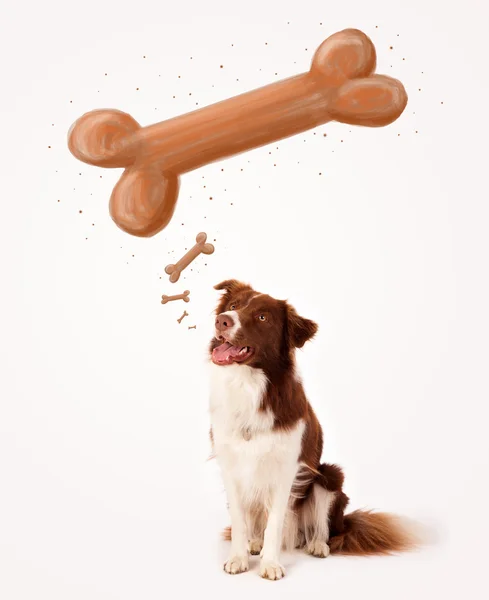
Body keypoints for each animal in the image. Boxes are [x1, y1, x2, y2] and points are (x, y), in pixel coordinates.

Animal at [206, 282, 416, 580]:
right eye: (233, 306)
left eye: (262, 317)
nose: (222, 320)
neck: (249, 385)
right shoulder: (230, 465)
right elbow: (239, 519)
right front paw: (238, 557)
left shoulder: (286, 468)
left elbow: (275, 523)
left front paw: (271, 564)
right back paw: (254, 543)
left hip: (328, 477)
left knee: (322, 528)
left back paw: (317, 545)